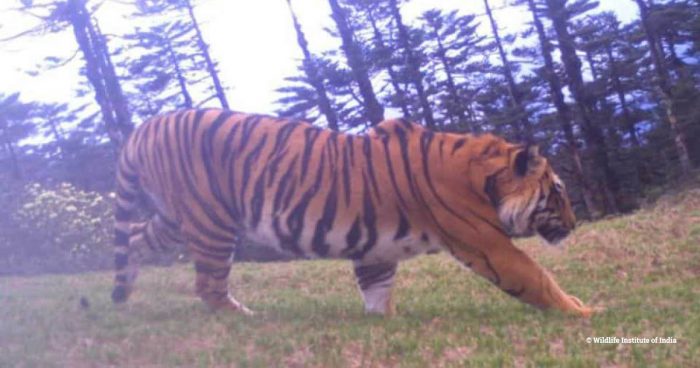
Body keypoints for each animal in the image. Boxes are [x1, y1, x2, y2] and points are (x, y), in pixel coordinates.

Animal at [112, 108, 600, 316]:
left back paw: (124, 292)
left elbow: (377, 290)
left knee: (133, 237)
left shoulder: (374, 249)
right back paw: (245, 318)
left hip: (176, 219)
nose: (575, 224)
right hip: (211, 223)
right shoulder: (487, 245)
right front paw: (585, 312)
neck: (482, 175)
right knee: (208, 285)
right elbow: (536, 277)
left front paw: (384, 323)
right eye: (558, 191)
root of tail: (142, 128)